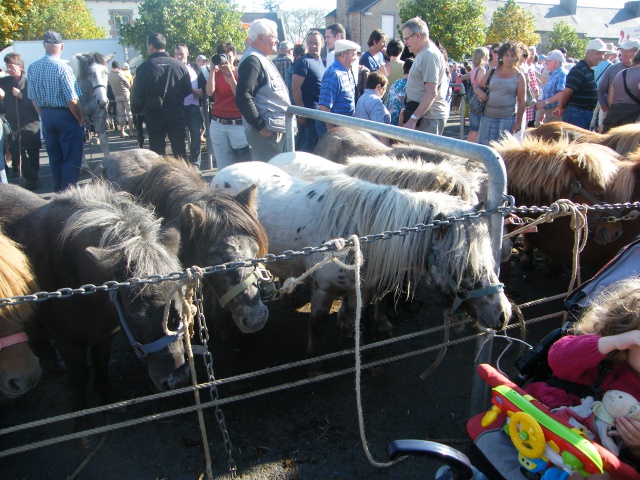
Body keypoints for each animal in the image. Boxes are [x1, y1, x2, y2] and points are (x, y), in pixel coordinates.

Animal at [0, 181, 189, 438]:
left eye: (178, 302)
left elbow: (101, 363)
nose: (175, 380)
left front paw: (110, 398)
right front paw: (82, 420)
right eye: (136, 316)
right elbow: (79, 377)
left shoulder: (105, 335)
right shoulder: (68, 342)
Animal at [212, 163, 512, 358]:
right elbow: (317, 328)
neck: (358, 235)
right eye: (463, 266)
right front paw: (313, 364)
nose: (502, 315)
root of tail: (223, 172)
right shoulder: (322, 290)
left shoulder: (362, 288)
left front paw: (350, 330)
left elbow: (355, 315)